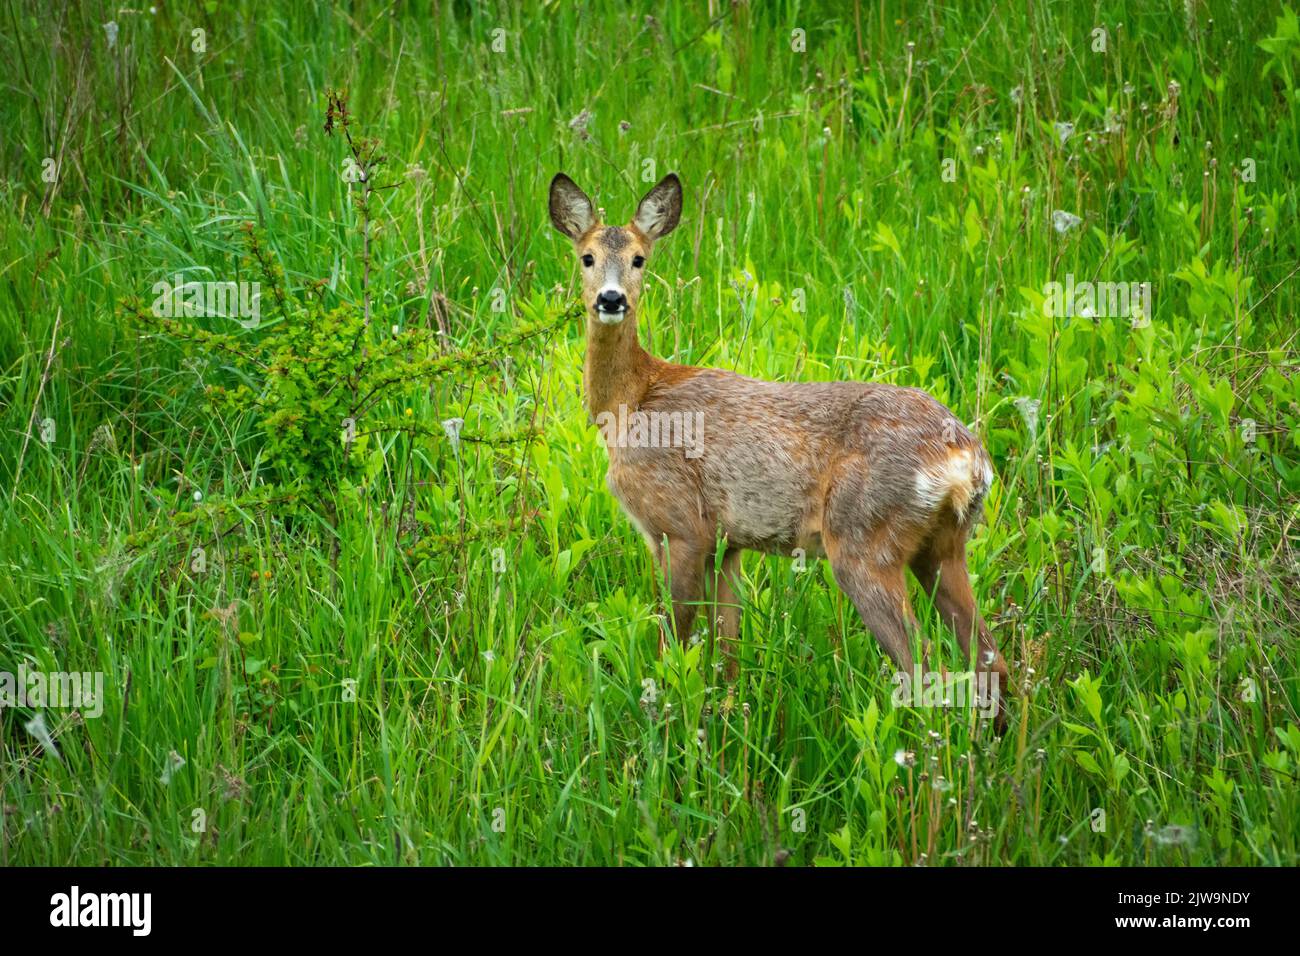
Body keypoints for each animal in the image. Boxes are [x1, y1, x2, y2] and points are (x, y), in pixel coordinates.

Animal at [549, 171, 1012, 726]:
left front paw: (663, 715)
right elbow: (727, 655)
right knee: (993, 662)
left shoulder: (679, 526)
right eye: (587, 256)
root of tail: (967, 459)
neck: (630, 401)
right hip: (944, 546)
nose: (612, 299)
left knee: (928, 669)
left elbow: (673, 646)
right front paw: (726, 718)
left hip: (862, 539)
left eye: (640, 258)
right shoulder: (726, 545)